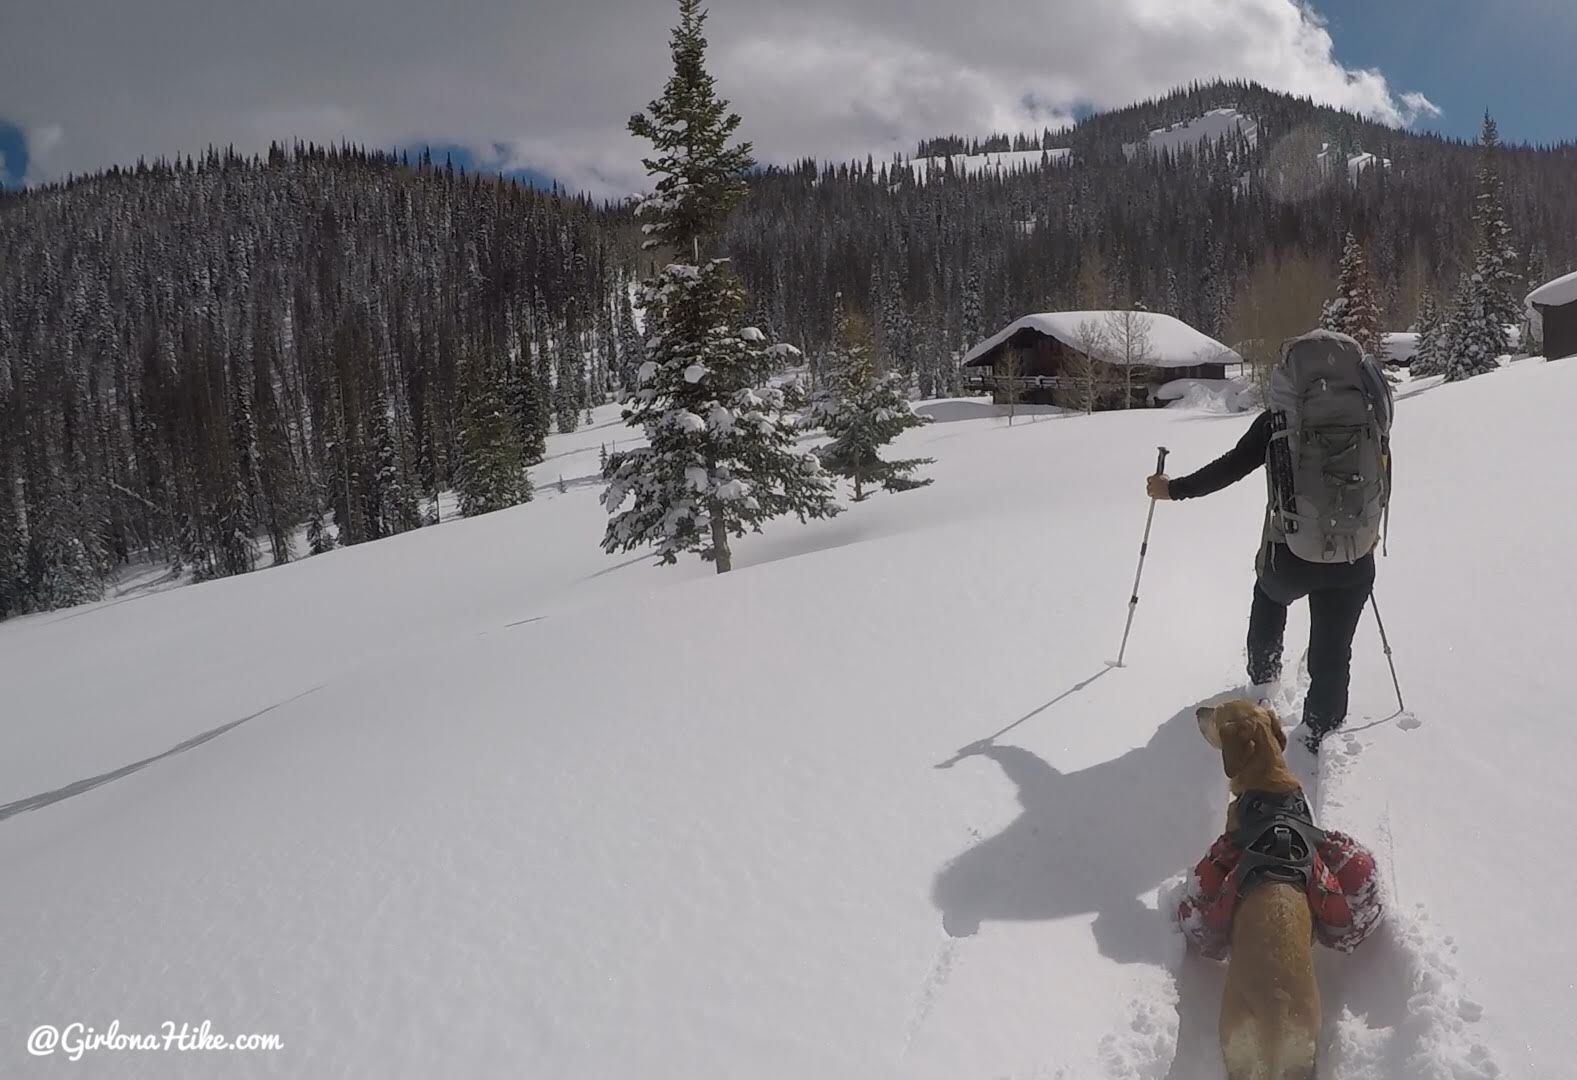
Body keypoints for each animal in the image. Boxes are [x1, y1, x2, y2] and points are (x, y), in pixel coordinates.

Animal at [1192, 700, 1318, 1078]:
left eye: (1218, 714)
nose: (1198, 710)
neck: (1269, 781)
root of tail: (1275, 1012)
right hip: (1302, 1059)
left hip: (1233, 1043)